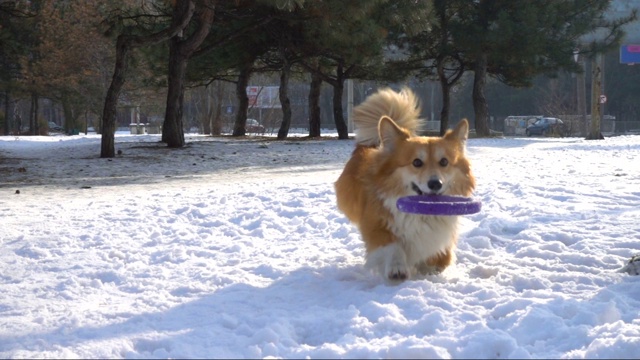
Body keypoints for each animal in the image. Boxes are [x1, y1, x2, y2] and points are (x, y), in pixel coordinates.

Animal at [336, 87, 476, 282]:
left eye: (444, 162)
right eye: (416, 162)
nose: (435, 184)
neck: (423, 215)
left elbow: (440, 253)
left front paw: (433, 268)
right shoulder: (376, 225)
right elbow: (392, 245)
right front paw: (397, 268)